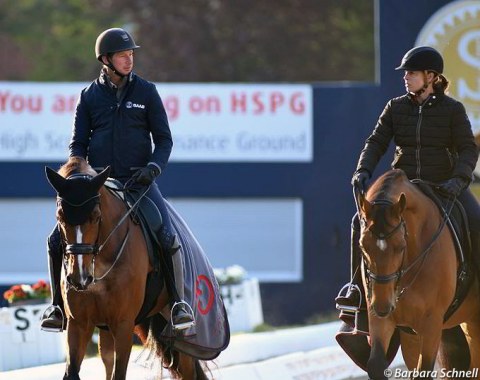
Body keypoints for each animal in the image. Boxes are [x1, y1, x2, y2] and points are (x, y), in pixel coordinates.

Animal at [46, 157, 209, 380]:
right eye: (59, 216)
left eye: (96, 216)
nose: (80, 278)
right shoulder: (78, 322)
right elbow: (72, 372)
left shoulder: (123, 323)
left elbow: (119, 372)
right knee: (106, 357)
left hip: (175, 327)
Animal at [356, 170, 480, 380]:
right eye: (363, 246)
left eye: (400, 247)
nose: (382, 306)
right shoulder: (386, 322)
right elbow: (376, 365)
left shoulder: (432, 323)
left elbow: (424, 371)